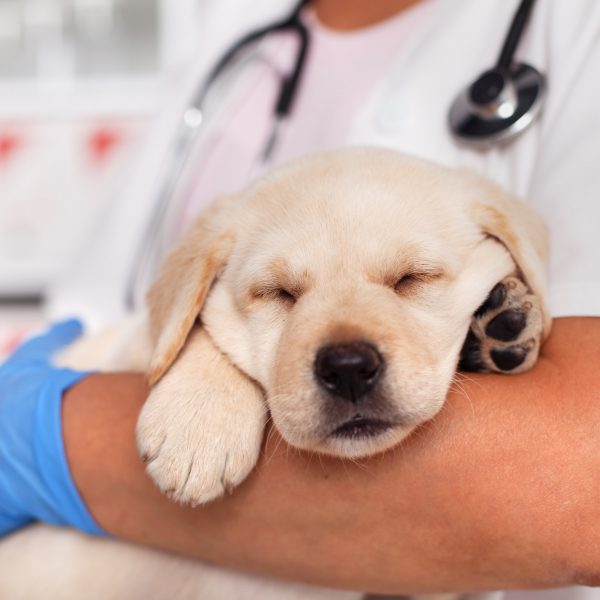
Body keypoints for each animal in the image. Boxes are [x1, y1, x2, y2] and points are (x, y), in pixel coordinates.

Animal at [0, 146, 552, 600]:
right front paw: (197, 424)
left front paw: (507, 317)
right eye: (279, 293)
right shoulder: (124, 348)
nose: (348, 368)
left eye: (411, 278)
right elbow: (194, 328)